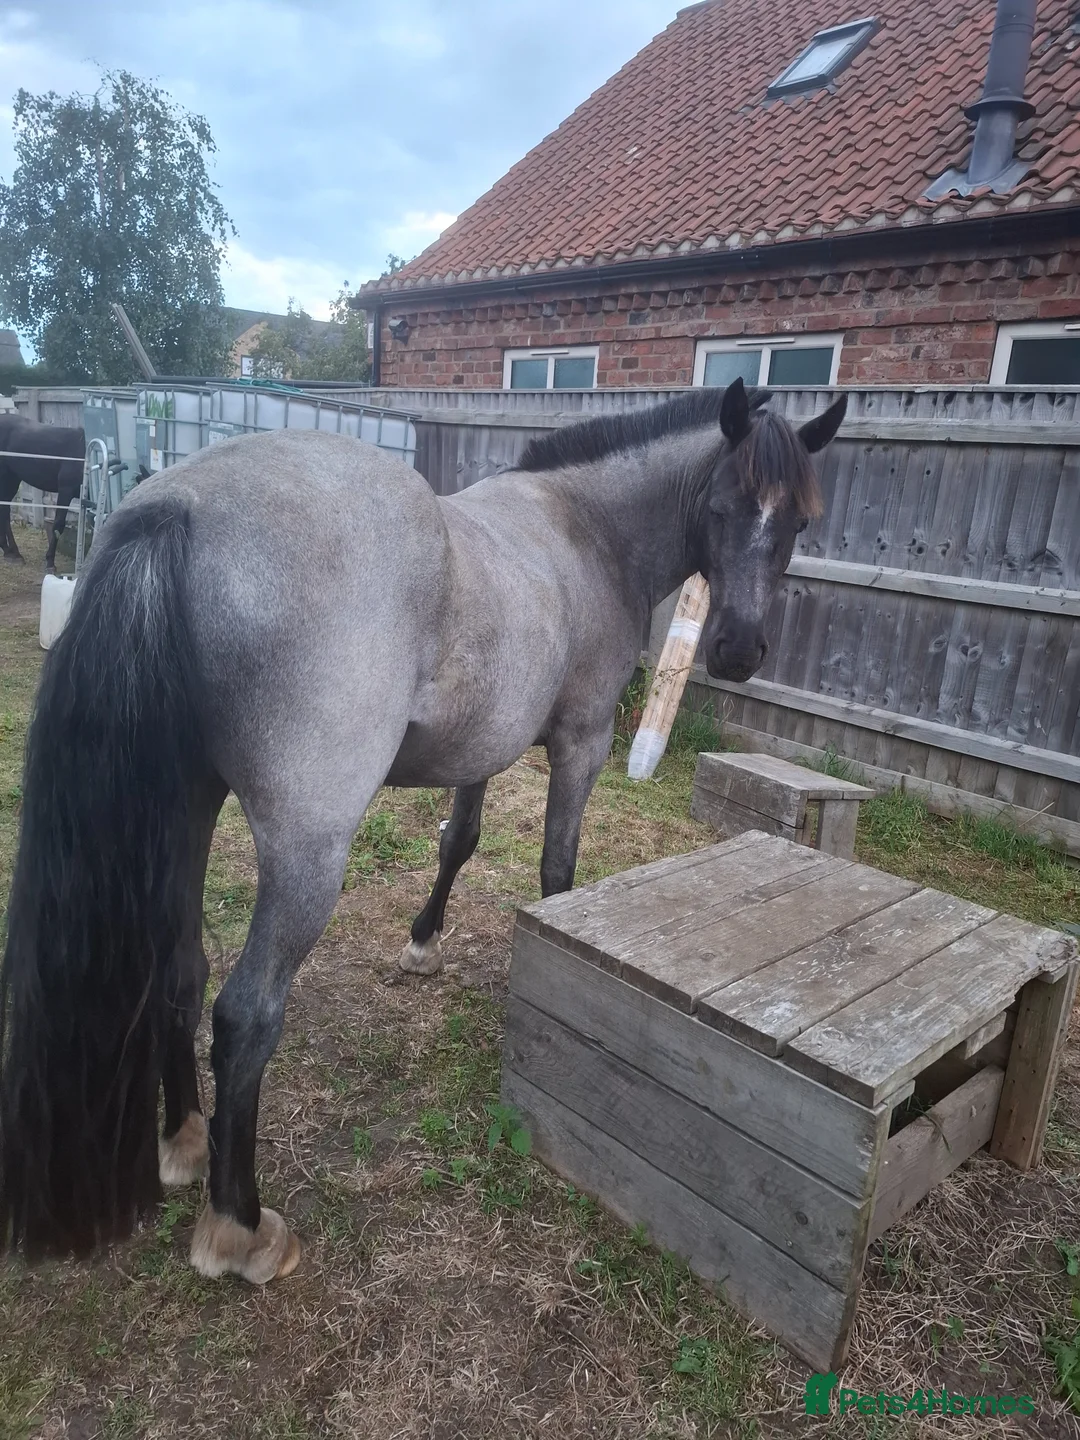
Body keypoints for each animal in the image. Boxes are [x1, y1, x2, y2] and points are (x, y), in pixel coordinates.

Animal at [0, 416, 85, 569]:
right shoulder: (66, 491)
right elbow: (58, 526)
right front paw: (50, 562)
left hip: (12, 479)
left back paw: (12, 552)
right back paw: (10, 552)